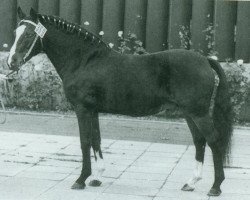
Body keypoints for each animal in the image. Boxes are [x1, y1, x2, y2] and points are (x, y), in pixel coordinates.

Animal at [7, 7, 233, 197]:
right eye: (15, 33)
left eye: (29, 35)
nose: (11, 62)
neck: (84, 61)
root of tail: (205, 60)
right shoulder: (93, 110)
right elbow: (96, 140)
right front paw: (97, 178)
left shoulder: (82, 109)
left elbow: (85, 141)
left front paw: (81, 179)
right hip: (189, 113)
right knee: (199, 141)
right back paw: (191, 182)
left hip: (199, 113)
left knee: (213, 140)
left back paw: (215, 187)